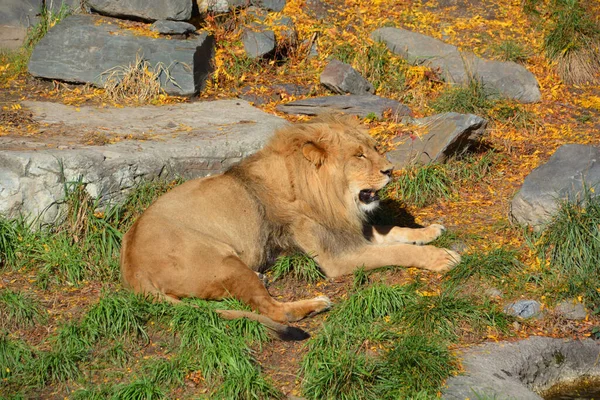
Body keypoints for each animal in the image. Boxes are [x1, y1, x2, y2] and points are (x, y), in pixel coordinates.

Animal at [120, 115, 460, 340]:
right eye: (359, 156)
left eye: (374, 148)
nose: (391, 170)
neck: (328, 197)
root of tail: (132, 271)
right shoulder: (335, 258)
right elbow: (397, 251)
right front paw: (440, 257)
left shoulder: (344, 230)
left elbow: (393, 231)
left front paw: (428, 231)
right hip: (225, 262)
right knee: (273, 310)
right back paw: (315, 304)